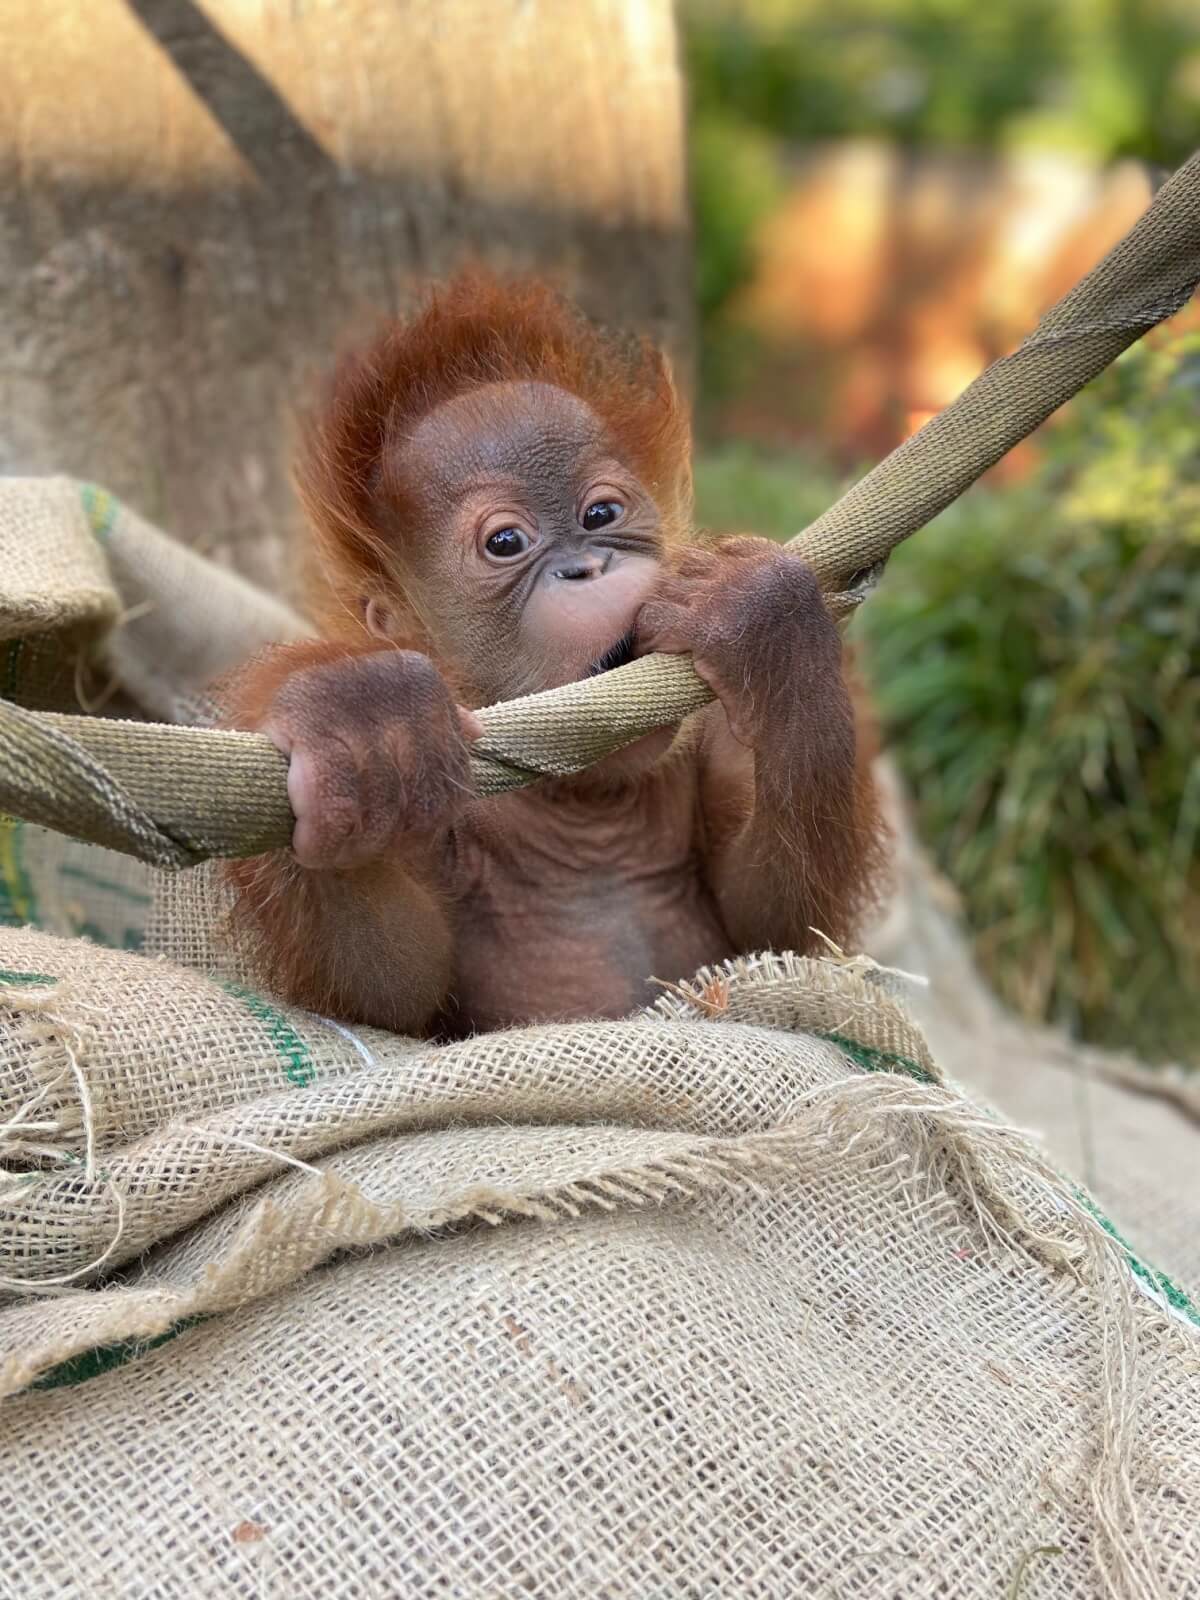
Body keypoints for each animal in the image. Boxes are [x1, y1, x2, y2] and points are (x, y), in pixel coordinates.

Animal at [222, 272, 887, 1038]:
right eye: (506, 543)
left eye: (601, 514)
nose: (587, 568)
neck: (584, 799)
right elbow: (397, 993)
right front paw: (358, 726)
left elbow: (771, 926)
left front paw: (770, 624)